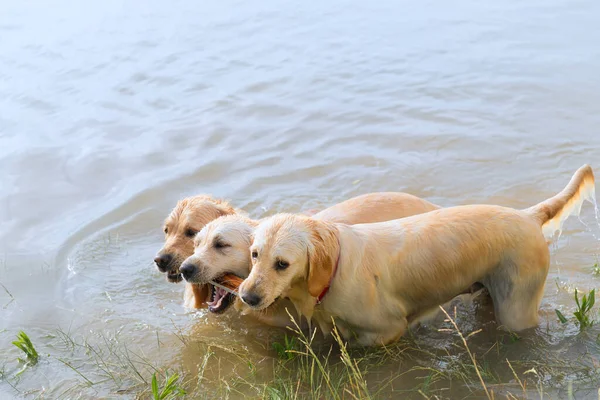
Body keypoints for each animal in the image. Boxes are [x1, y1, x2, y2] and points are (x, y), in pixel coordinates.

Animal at [239, 164, 596, 346]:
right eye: (254, 254)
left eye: (282, 264)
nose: (246, 297)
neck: (335, 269)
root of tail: (528, 215)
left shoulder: (388, 329)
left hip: (516, 309)